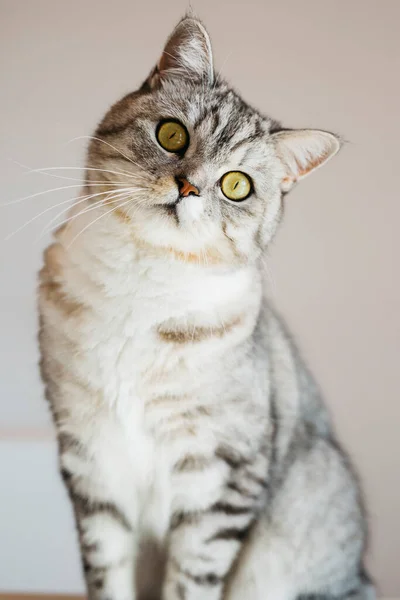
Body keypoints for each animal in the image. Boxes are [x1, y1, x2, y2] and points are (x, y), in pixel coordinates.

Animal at [37, 12, 376, 600]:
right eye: (172, 135)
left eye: (236, 185)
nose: (188, 187)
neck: (141, 283)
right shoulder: (90, 456)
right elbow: (107, 572)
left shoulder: (221, 473)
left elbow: (191, 581)